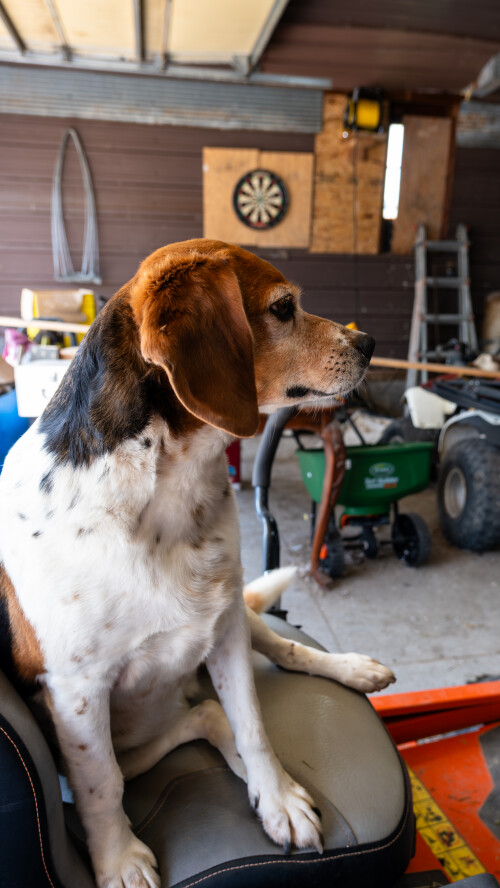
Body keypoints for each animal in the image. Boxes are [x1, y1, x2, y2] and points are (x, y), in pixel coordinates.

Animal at [0, 241, 394, 888]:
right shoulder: (77, 693)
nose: (369, 343)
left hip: (233, 611)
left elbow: (254, 724)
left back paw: (351, 669)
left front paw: (276, 797)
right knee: (199, 719)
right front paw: (118, 859)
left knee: (272, 658)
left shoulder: (226, 625)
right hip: (140, 728)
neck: (168, 490)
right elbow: (102, 785)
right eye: (282, 308)